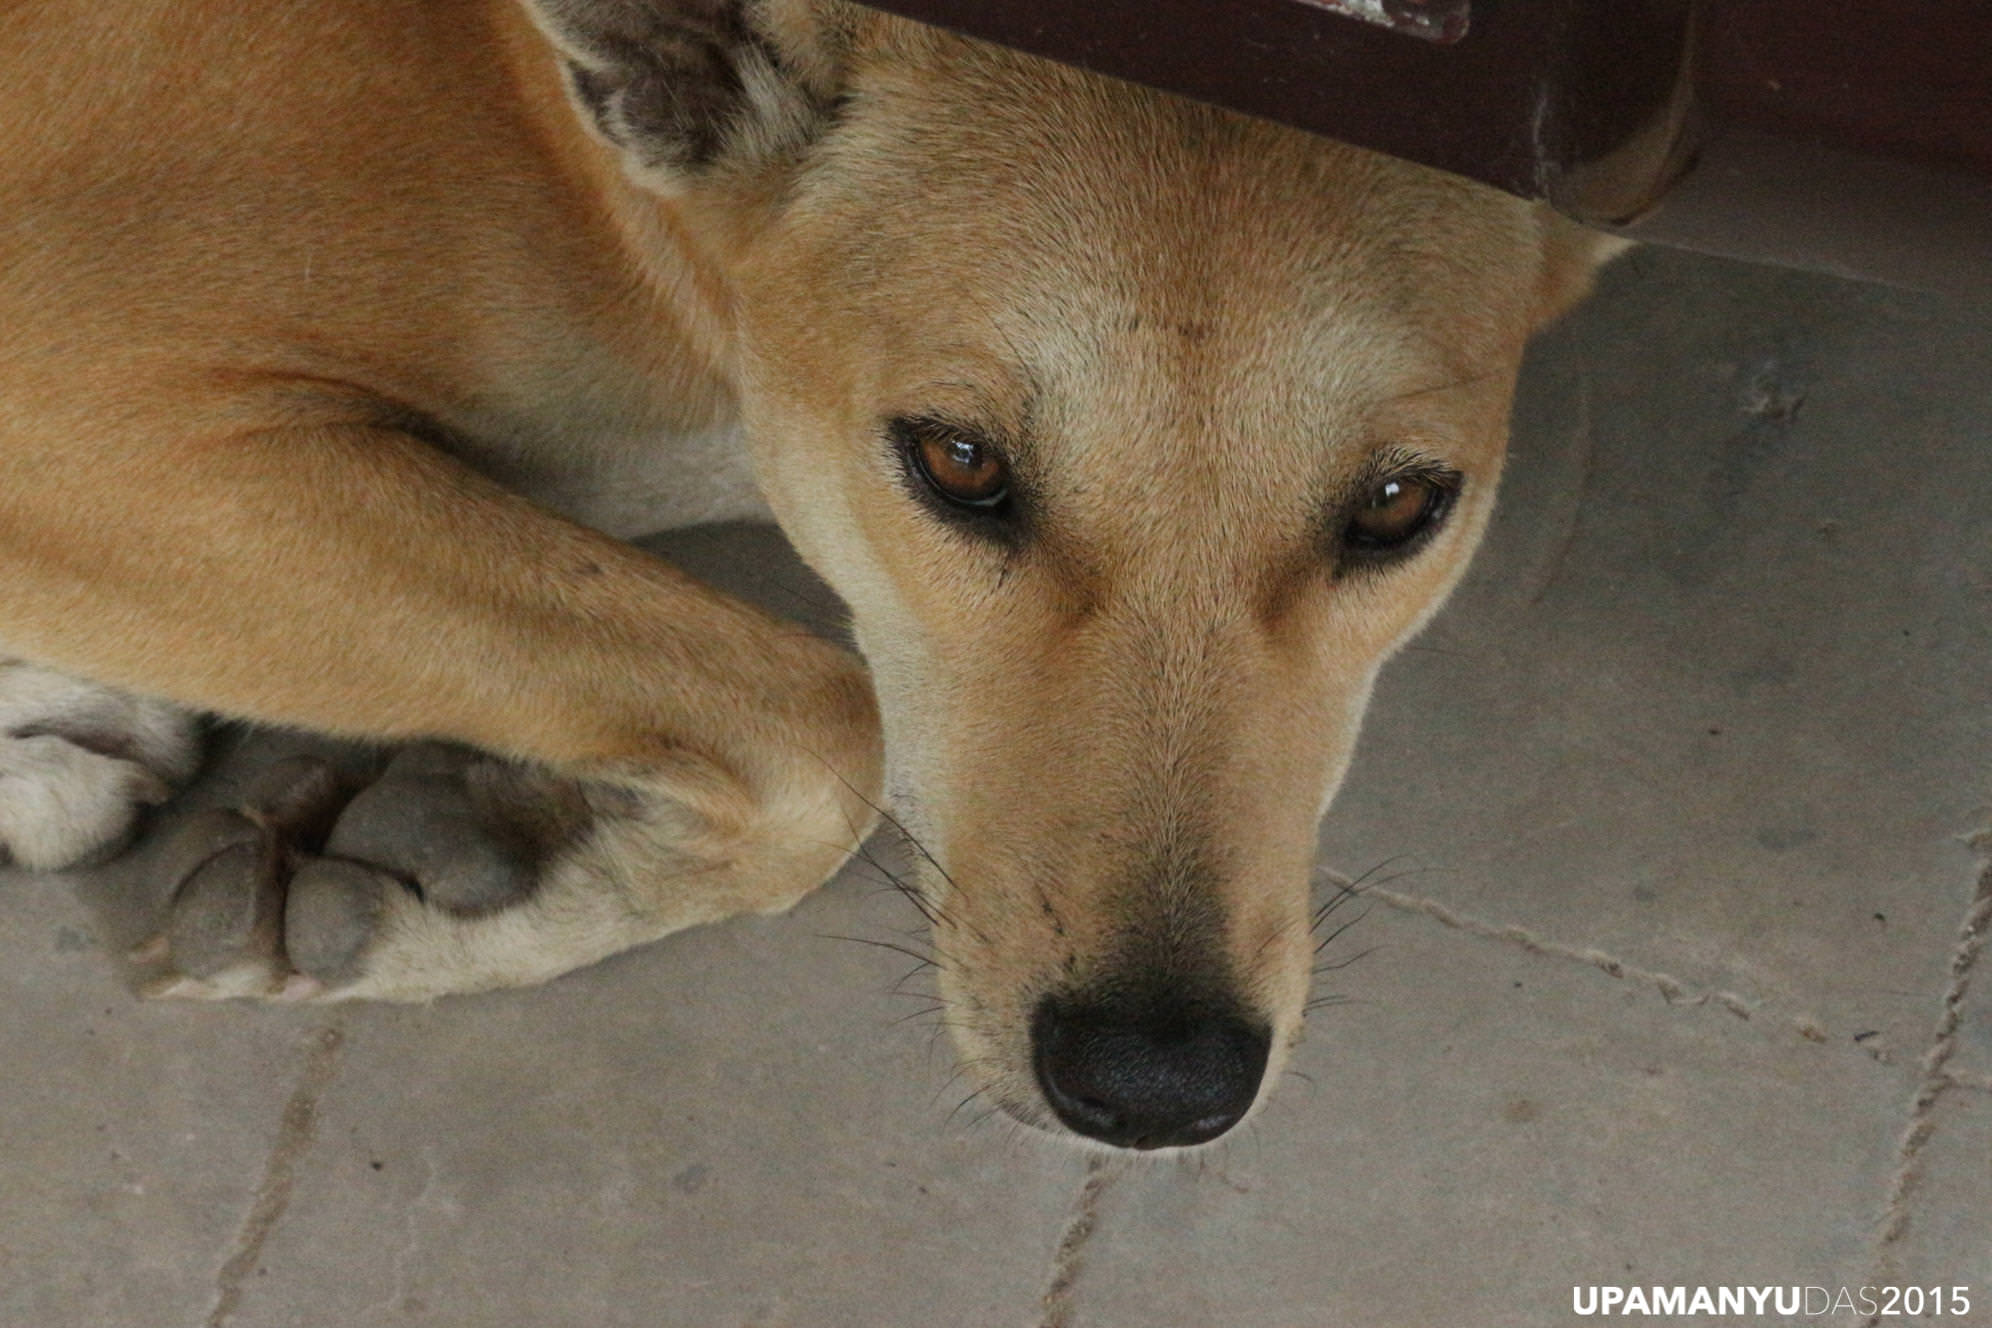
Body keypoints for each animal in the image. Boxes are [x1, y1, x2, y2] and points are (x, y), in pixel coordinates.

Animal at [0, 0, 1617, 1154]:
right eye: (958, 460)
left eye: (1401, 503)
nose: (1157, 1085)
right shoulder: (89, 417)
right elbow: (834, 728)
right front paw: (482, 876)